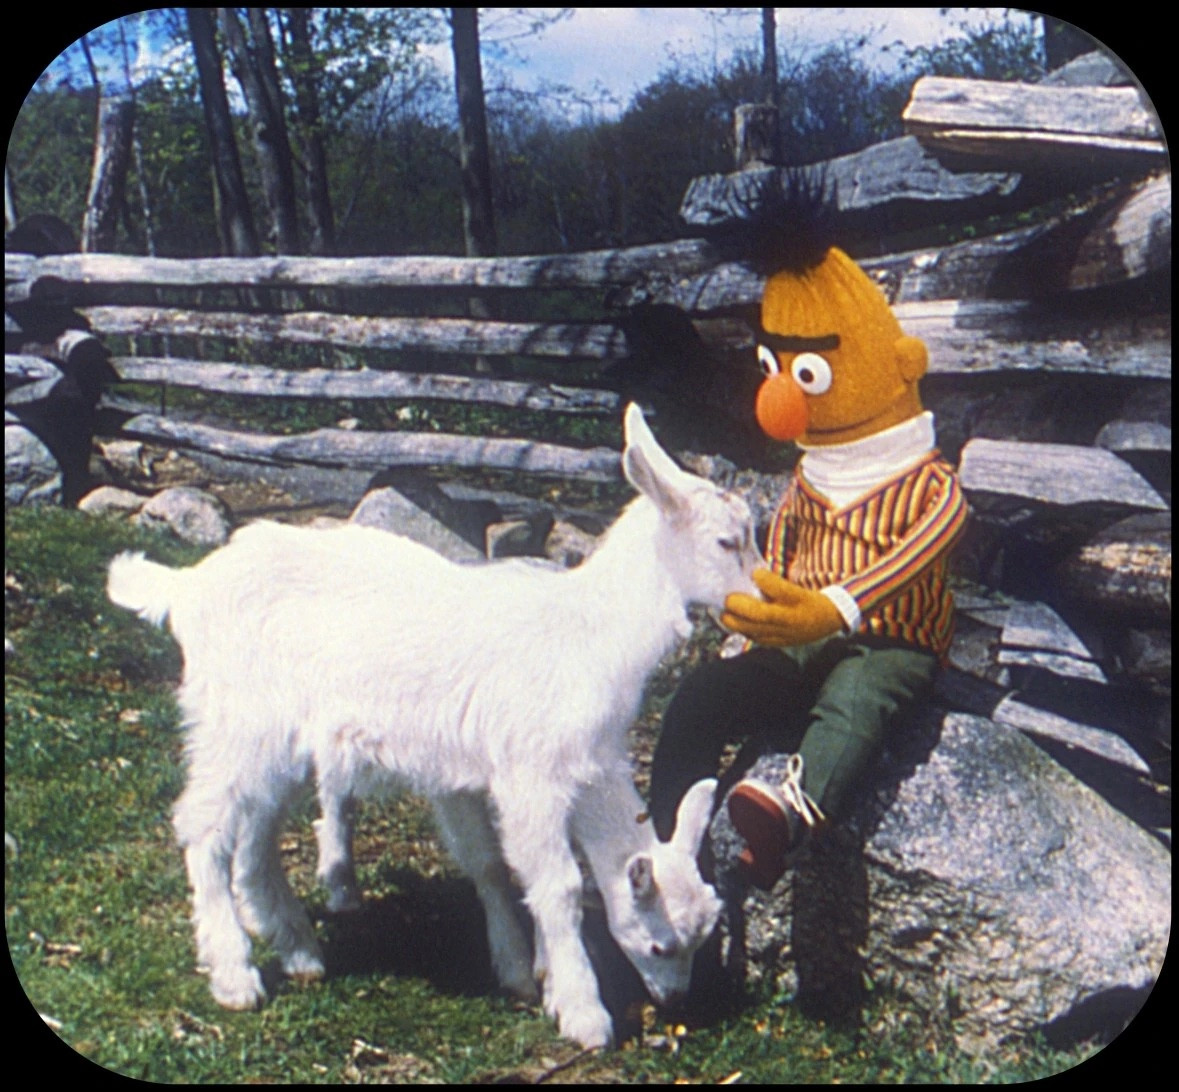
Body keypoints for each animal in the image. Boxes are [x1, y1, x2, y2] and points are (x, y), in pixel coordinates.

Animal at [108, 403, 754, 1051]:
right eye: (660, 944)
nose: (676, 1002)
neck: (591, 630)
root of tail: (187, 586)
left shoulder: (467, 774)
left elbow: (493, 864)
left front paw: (527, 973)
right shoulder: (531, 770)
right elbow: (560, 884)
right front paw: (582, 1012)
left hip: (281, 742)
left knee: (255, 832)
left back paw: (298, 950)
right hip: (235, 719)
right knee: (204, 826)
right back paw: (235, 975)